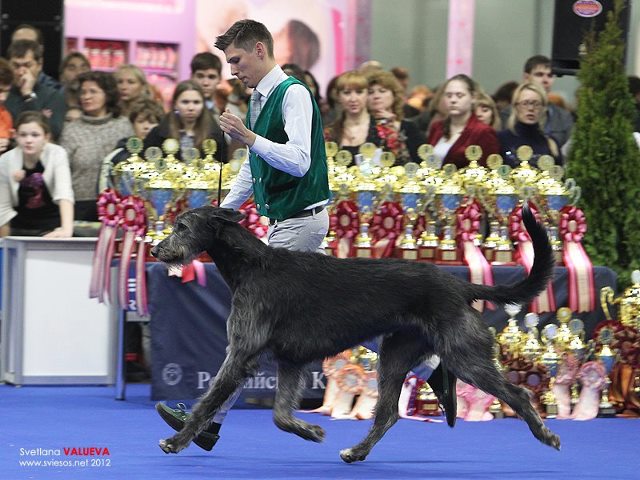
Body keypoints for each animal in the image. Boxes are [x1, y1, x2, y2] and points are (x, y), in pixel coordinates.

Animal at [151, 205, 560, 462]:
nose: (156, 249)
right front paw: (311, 431)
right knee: (388, 414)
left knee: (518, 393)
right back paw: (358, 451)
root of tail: (460, 285)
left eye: (182, 226)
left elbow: (209, 401)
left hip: (463, 354)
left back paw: (546, 435)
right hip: (395, 354)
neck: (253, 265)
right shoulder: (290, 360)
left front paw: (176, 441)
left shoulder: (241, 353)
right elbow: (280, 414)